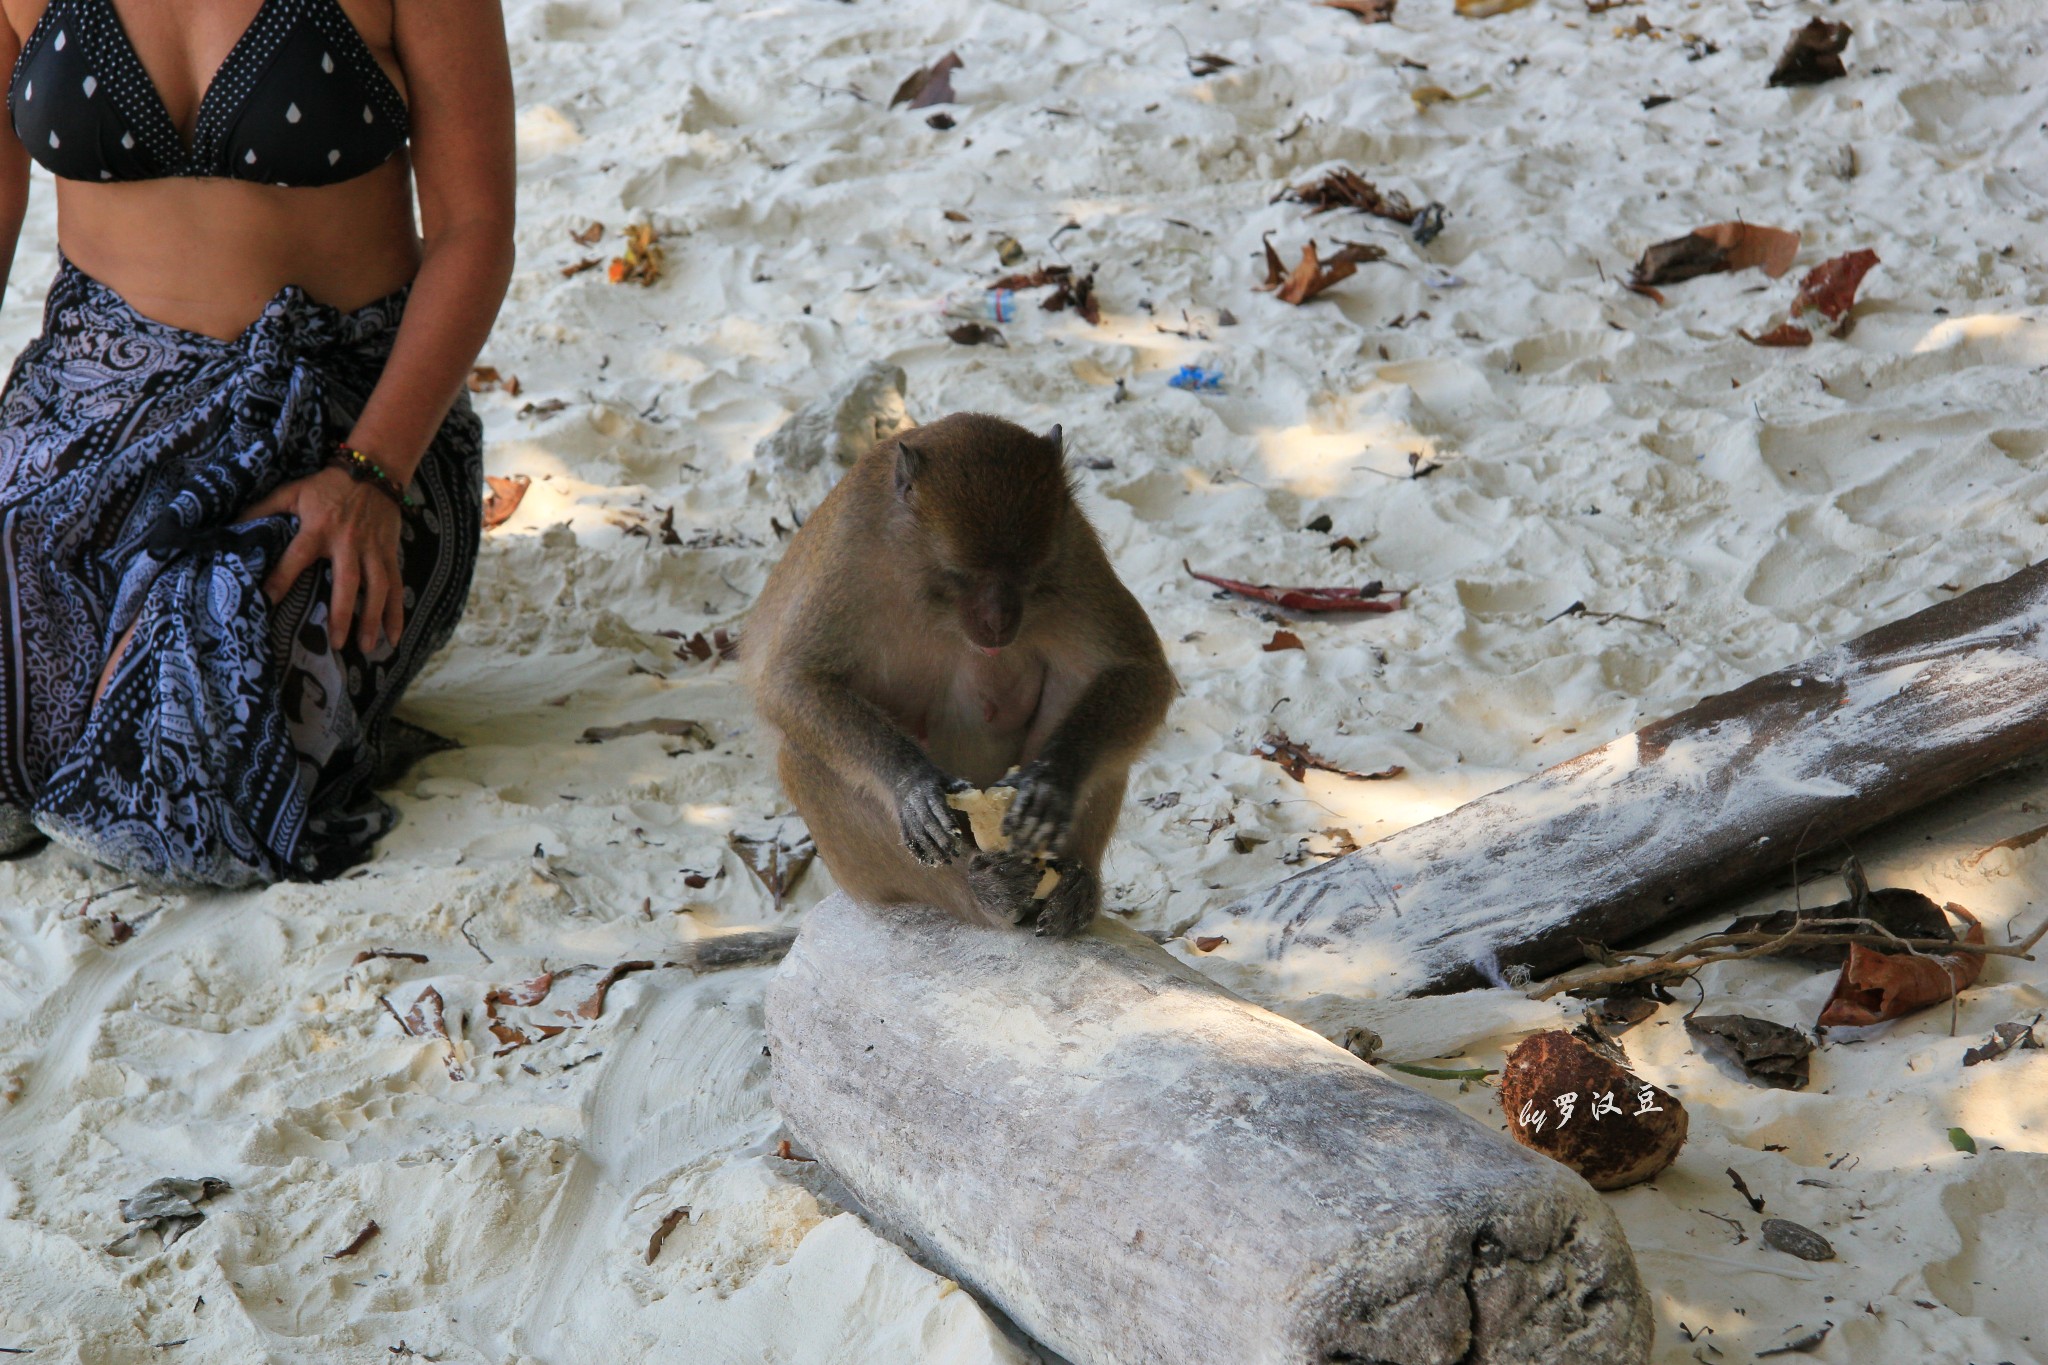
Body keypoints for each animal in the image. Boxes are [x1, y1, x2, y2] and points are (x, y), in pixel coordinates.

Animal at [745, 411, 1179, 933]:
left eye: (1028, 573)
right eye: (960, 575)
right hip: (870, 882)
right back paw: (984, 894)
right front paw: (911, 783)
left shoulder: (1071, 547)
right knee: (803, 756)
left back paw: (1074, 882)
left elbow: (1138, 669)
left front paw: (1054, 779)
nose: (998, 622)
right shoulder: (848, 552)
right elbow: (791, 681)